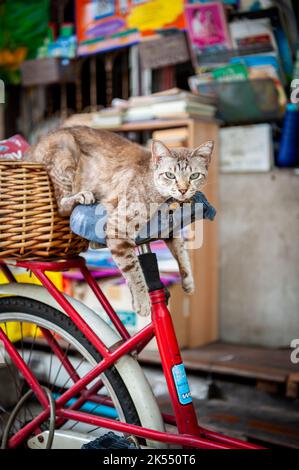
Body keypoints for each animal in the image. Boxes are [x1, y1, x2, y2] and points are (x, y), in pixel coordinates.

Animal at [25, 126, 213, 316]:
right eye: (170, 175)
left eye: (194, 176)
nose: (183, 190)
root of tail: (32, 149)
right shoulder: (119, 227)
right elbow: (133, 270)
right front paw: (143, 301)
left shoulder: (168, 228)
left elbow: (181, 250)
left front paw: (188, 281)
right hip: (65, 150)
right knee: (62, 205)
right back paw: (82, 196)